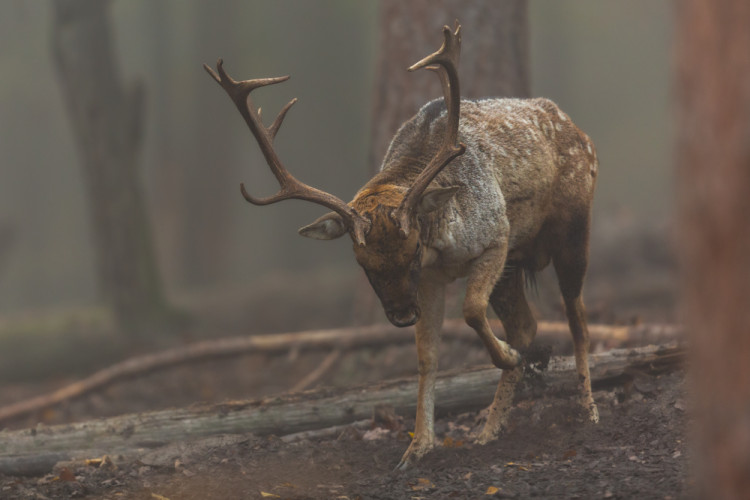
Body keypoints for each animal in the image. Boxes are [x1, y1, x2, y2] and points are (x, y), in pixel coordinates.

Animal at [204, 22, 600, 468]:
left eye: (411, 251)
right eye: (362, 262)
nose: (399, 314)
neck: (441, 246)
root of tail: (579, 131)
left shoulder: (496, 239)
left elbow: (471, 310)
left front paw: (513, 358)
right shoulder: (431, 281)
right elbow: (427, 356)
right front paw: (417, 446)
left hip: (573, 232)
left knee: (578, 320)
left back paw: (587, 408)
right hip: (516, 267)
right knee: (527, 324)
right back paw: (491, 427)